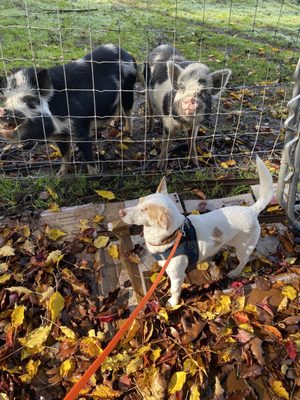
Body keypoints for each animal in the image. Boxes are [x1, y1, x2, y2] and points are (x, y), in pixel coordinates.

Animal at [0, 44, 137, 174]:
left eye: (30, 101)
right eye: (6, 100)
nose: (4, 110)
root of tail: (125, 53)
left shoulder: (79, 127)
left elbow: (88, 155)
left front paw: (94, 175)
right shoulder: (59, 136)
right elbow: (65, 155)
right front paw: (60, 175)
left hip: (128, 89)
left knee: (128, 111)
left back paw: (128, 133)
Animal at [118, 157, 274, 306]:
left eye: (145, 210)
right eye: (139, 201)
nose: (120, 212)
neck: (172, 237)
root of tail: (252, 210)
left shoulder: (177, 276)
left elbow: (174, 290)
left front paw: (173, 302)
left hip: (244, 248)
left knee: (244, 260)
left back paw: (235, 272)